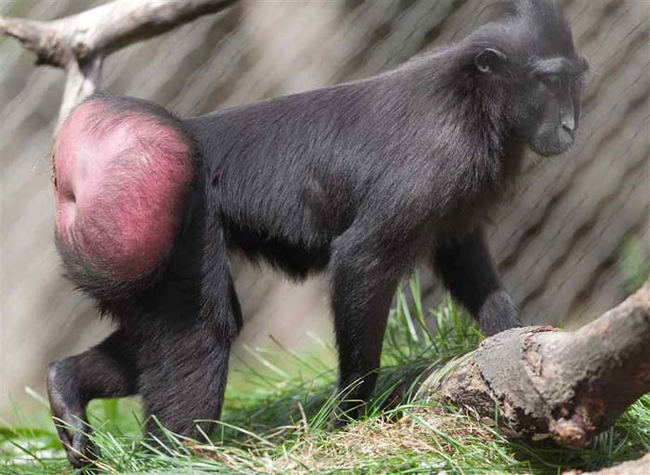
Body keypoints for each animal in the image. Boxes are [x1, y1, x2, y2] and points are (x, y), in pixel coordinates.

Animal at [46, 0, 588, 468]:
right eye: (547, 81)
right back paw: (178, 458)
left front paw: (512, 342)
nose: (568, 126)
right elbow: (361, 260)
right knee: (203, 331)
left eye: (573, 82)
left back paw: (65, 385)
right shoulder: (440, 156)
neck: (474, 98)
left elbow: (465, 258)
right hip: (182, 221)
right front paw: (350, 418)